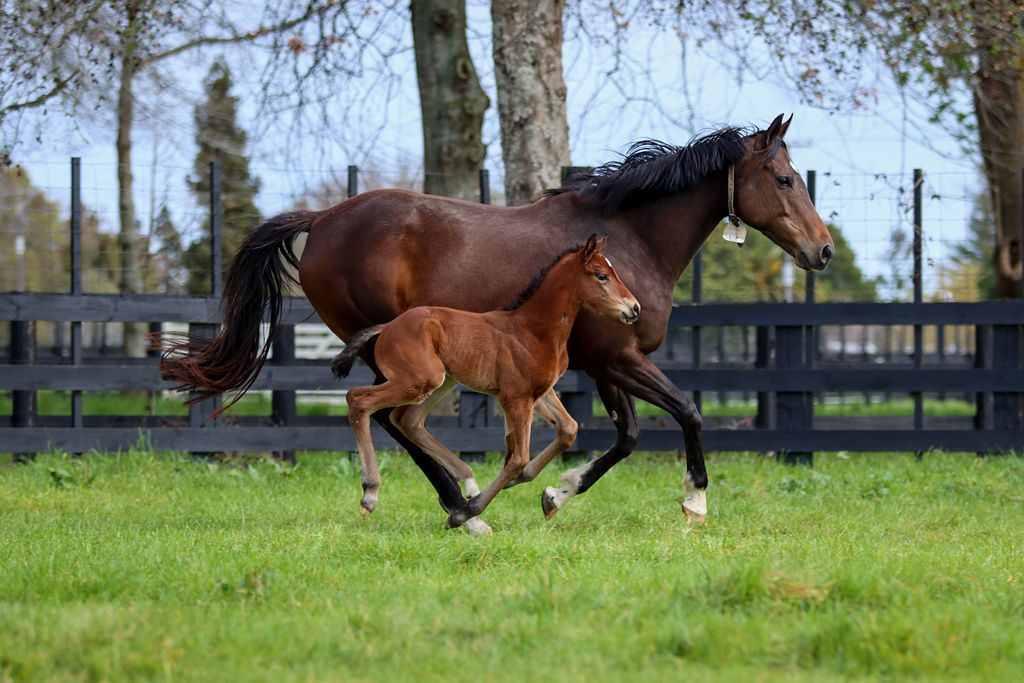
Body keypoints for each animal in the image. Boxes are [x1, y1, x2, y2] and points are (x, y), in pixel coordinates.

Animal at [333, 235, 638, 528]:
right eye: (601, 275)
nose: (634, 308)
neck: (533, 331)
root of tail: (387, 327)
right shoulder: (515, 398)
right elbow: (518, 458)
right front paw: (465, 513)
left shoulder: (539, 392)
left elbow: (568, 430)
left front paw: (541, 493)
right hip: (419, 380)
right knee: (358, 399)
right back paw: (371, 493)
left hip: (442, 380)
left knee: (407, 419)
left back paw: (468, 481)